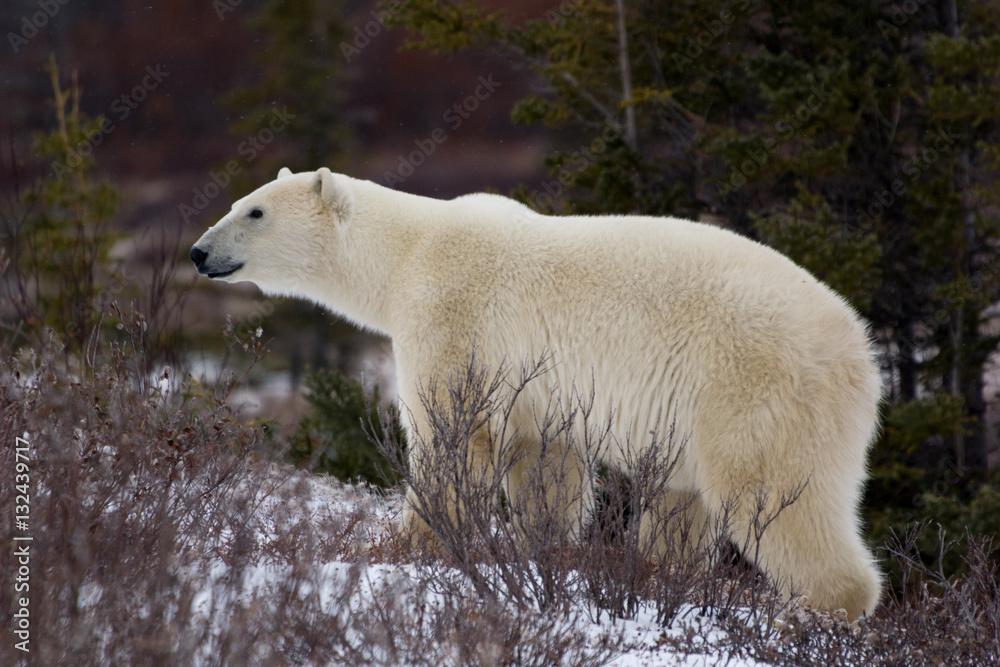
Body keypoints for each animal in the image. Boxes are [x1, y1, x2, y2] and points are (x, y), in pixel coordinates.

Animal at [189, 168, 884, 620]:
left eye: (254, 211)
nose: (197, 252)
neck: (410, 249)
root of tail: (861, 354)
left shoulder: (454, 312)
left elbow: (451, 435)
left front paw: (402, 550)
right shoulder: (538, 395)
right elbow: (548, 468)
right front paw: (545, 555)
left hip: (753, 385)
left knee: (773, 493)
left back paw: (820, 611)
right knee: (682, 504)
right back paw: (663, 581)